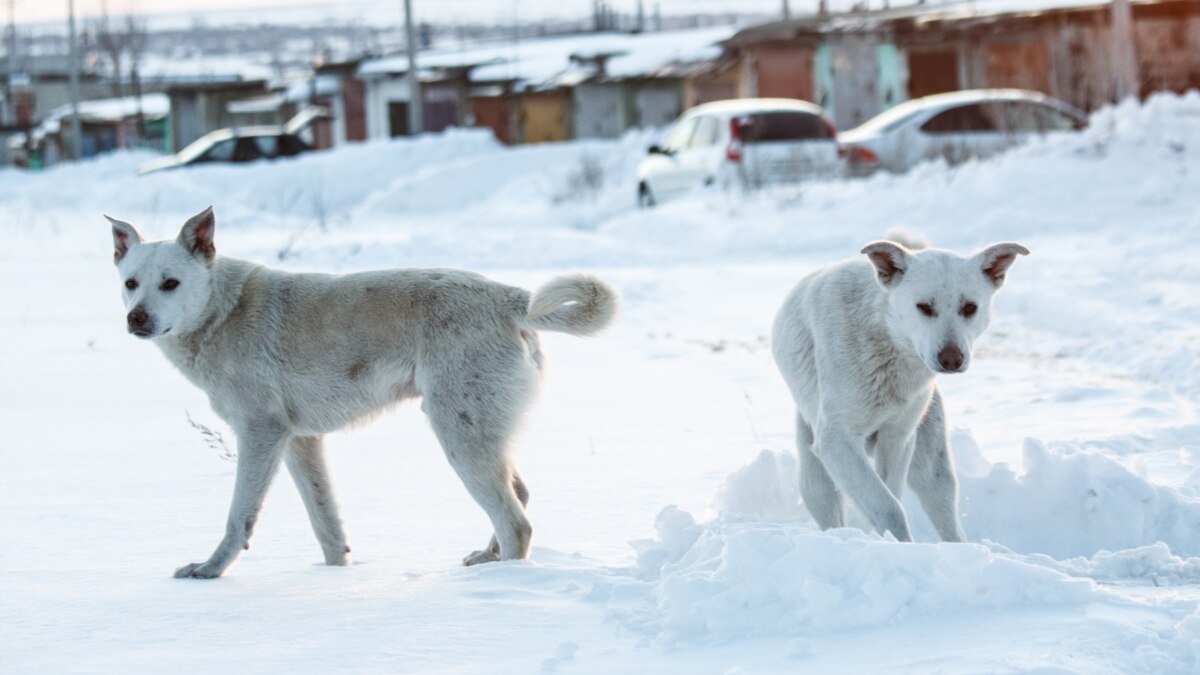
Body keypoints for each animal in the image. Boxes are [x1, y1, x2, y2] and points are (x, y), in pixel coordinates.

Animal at [772, 234, 1027, 538]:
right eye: (924, 307)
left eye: (969, 308)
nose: (952, 359)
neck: (888, 339)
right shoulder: (837, 440)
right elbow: (888, 506)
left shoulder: (898, 437)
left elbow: (890, 496)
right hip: (814, 472)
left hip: (931, 462)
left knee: (948, 520)